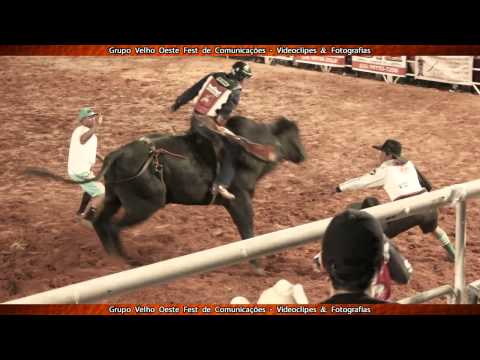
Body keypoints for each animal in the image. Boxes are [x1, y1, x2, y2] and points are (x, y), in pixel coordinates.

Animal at [27, 116, 304, 272]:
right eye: (295, 136)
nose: (303, 155)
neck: (249, 146)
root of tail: (117, 154)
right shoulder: (239, 200)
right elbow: (247, 230)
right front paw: (258, 266)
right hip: (145, 204)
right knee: (114, 226)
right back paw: (127, 261)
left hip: (116, 197)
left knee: (101, 222)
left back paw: (111, 259)